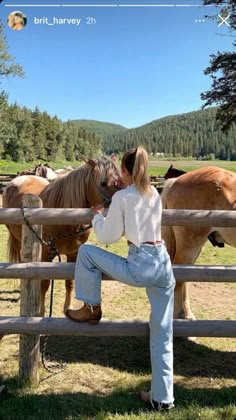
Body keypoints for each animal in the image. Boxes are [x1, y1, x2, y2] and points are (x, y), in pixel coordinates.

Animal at [3, 158, 123, 316]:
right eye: (103, 183)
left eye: (121, 178)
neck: (63, 213)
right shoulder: (46, 253)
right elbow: (45, 283)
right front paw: (41, 313)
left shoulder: (73, 253)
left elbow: (70, 281)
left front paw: (68, 309)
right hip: (16, 239)